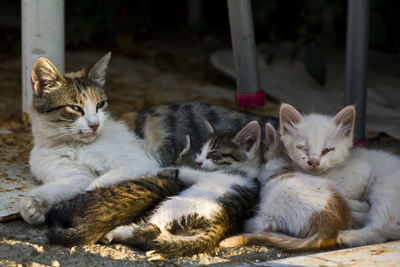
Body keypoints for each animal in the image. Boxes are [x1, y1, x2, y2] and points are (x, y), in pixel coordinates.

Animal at [21, 52, 278, 224]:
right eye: (75, 108)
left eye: (100, 105)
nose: (95, 125)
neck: (72, 145)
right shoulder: (71, 174)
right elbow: (66, 185)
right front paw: (34, 205)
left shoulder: (141, 161)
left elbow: (99, 180)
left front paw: (92, 191)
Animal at [101, 122, 260, 258]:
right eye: (200, 152)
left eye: (212, 154)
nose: (198, 162)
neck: (246, 167)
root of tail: (220, 224)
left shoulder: (210, 174)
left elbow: (183, 171)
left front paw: (162, 169)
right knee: (160, 233)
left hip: (175, 205)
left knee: (152, 230)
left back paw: (114, 233)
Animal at [280, 103, 400, 248]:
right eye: (303, 148)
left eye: (327, 150)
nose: (314, 162)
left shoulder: (361, 173)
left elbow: (340, 193)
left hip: (387, 188)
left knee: (380, 228)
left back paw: (349, 235)